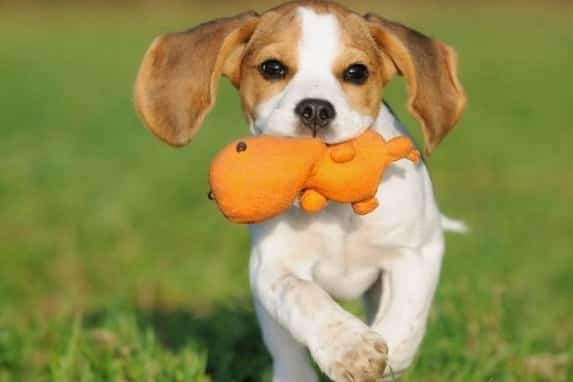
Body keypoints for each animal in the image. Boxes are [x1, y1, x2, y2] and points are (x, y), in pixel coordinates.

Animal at [136, 1, 466, 380]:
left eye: (356, 72)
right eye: (272, 68)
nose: (316, 109)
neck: (330, 201)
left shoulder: (417, 251)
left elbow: (405, 316)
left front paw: (390, 357)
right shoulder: (272, 267)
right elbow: (305, 297)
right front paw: (350, 349)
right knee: (287, 351)